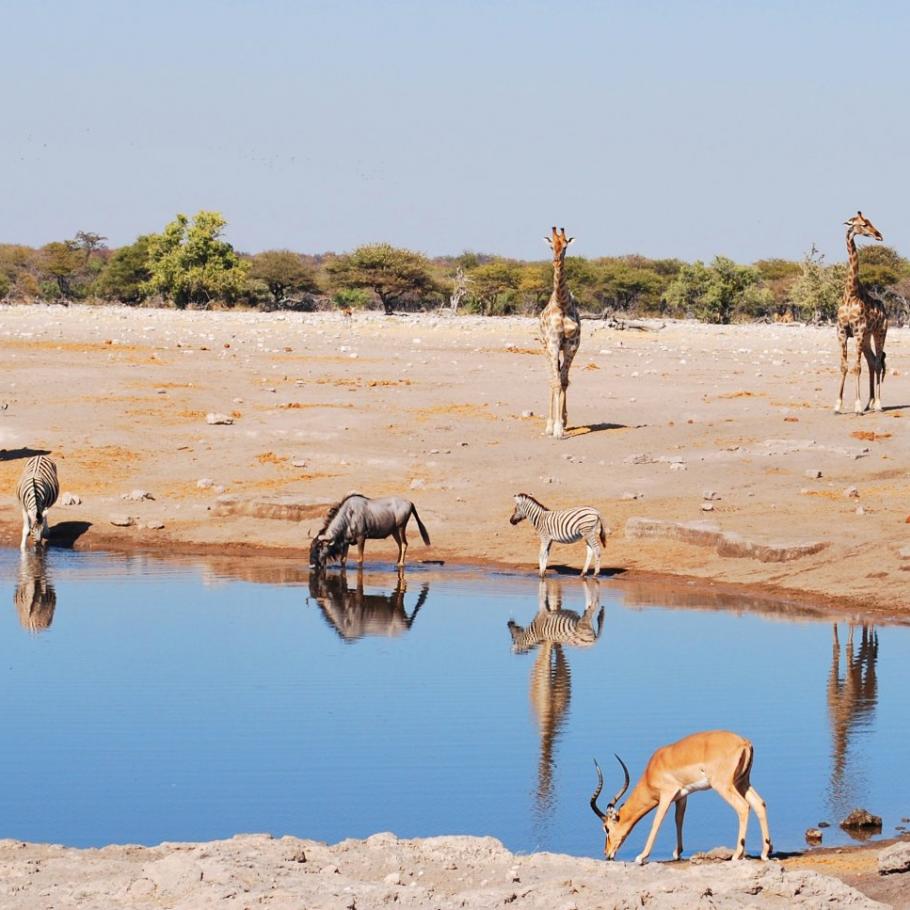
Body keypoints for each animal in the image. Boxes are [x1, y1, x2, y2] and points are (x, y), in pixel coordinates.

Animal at [836, 212, 888, 416]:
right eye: (864, 224)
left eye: (870, 222)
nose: (879, 235)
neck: (850, 294)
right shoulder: (842, 333)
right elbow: (844, 366)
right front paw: (838, 406)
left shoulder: (857, 332)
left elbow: (856, 367)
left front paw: (857, 407)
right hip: (866, 338)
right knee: (872, 362)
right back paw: (870, 403)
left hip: (879, 333)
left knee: (878, 363)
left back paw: (878, 404)